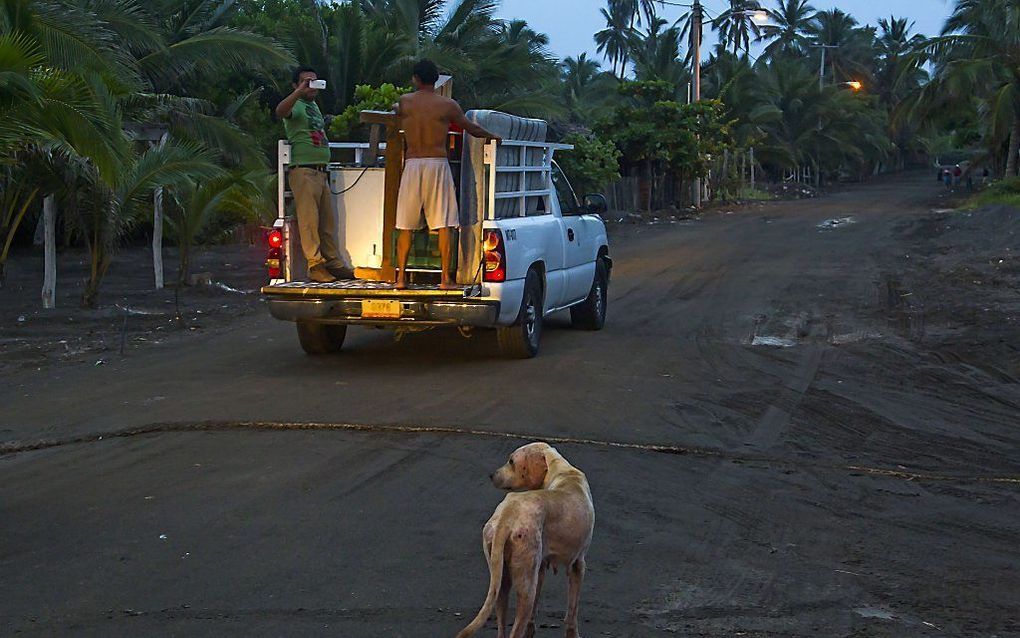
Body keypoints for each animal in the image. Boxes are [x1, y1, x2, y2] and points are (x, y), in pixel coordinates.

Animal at [456, 443, 595, 636]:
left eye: (511, 461)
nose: (491, 475)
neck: (560, 470)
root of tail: (507, 515)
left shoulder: (542, 566)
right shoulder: (578, 565)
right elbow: (572, 614)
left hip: (501, 581)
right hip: (526, 586)